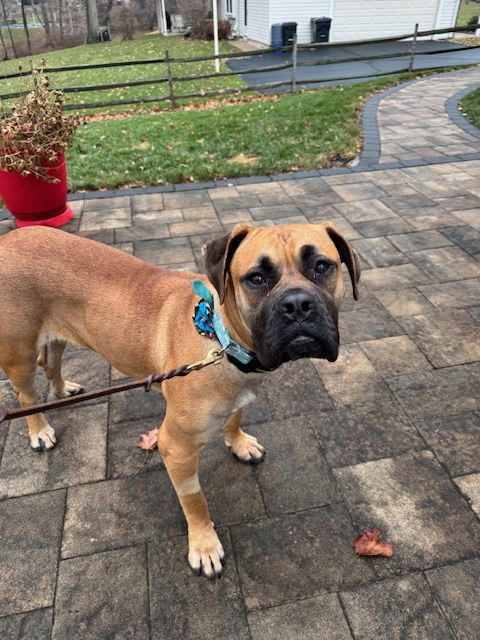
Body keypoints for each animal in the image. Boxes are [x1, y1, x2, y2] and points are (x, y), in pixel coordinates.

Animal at [0, 222, 360, 576]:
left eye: (322, 266)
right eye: (256, 278)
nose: (297, 305)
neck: (223, 341)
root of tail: (9, 239)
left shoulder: (237, 397)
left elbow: (235, 416)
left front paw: (239, 443)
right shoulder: (176, 447)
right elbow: (194, 499)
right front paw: (204, 545)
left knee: (51, 361)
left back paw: (63, 389)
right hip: (18, 352)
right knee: (25, 394)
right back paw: (39, 430)